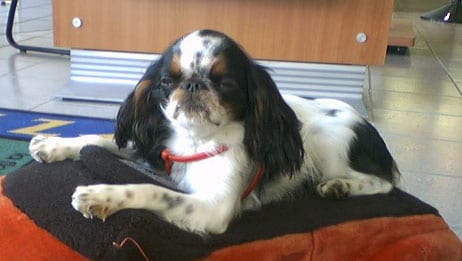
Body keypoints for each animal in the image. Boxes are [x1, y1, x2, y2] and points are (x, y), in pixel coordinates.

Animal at [28, 29, 398, 234]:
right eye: (167, 81)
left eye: (225, 83)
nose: (193, 84)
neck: (195, 140)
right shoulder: (155, 147)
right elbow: (99, 139)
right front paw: (52, 144)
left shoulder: (214, 206)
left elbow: (151, 190)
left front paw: (101, 196)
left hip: (331, 143)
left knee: (383, 183)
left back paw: (340, 186)